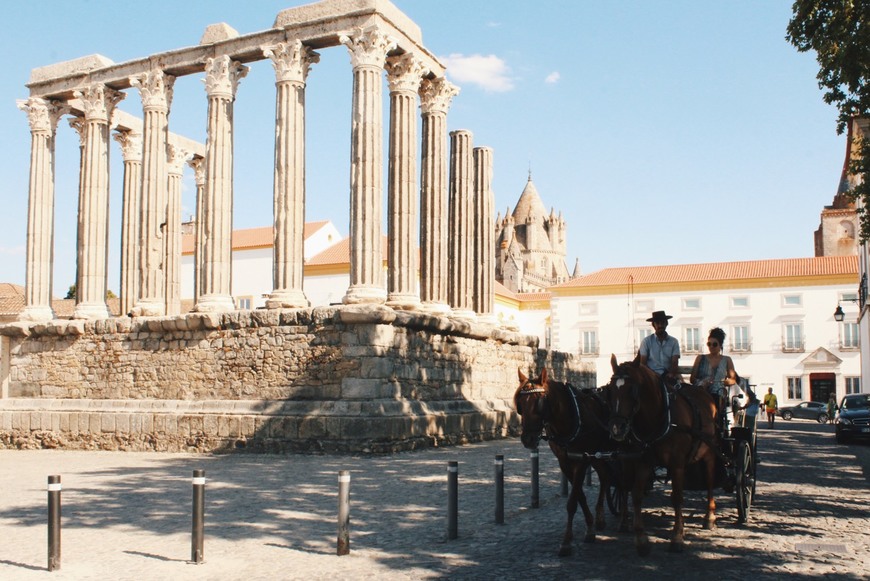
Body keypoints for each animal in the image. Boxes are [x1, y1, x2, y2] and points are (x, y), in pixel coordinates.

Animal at [516, 370, 616, 556]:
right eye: (520, 404)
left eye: (539, 403)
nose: (527, 439)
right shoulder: (564, 462)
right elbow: (580, 497)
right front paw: (590, 527)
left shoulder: (582, 460)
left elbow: (572, 502)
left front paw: (567, 542)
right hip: (597, 455)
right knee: (605, 475)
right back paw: (600, 518)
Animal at [608, 354, 724, 552]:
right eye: (610, 389)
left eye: (632, 390)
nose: (617, 428)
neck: (658, 418)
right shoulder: (644, 461)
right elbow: (636, 494)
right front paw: (641, 538)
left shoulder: (676, 463)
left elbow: (678, 498)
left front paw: (677, 537)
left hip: (708, 453)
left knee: (709, 482)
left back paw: (709, 517)